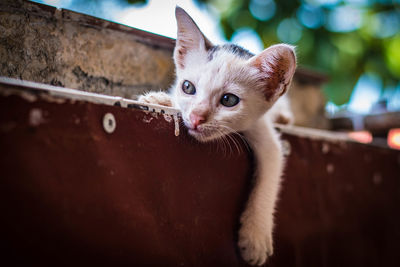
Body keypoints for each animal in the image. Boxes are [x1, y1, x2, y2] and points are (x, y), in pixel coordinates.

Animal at [139, 6, 296, 266]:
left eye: (229, 100)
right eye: (188, 87)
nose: (196, 118)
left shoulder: (264, 134)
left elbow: (270, 175)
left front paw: (255, 237)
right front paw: (159, 99)